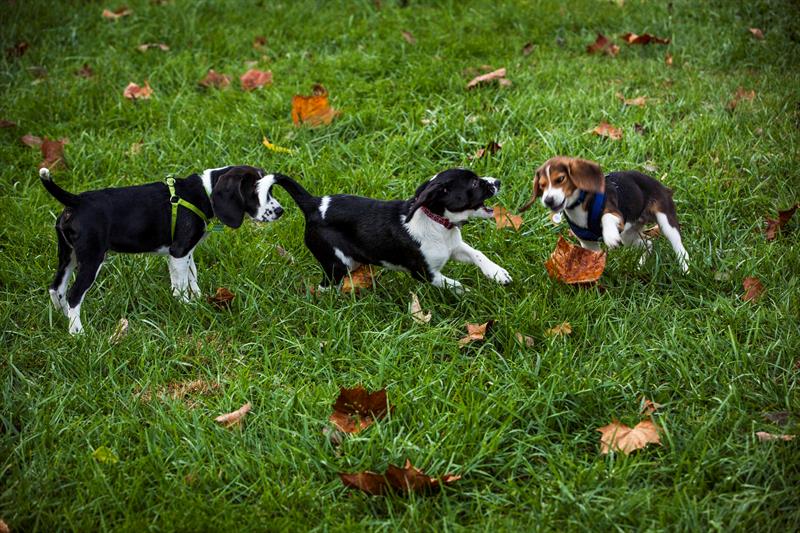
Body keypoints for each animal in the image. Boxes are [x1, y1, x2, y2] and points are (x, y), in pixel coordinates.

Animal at [40, 164, 286, 334]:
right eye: (256, 194)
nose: (280, 211)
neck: (204, 192)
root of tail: (76, 201)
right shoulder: (178, 253)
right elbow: (180, 284)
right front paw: (186, 306)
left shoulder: (187, 251)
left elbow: (192, 276)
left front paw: (197, 299)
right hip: (92, 259)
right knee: (74, 294)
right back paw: (77, 332)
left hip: (68, 256)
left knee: (56, 288)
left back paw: (63, 317)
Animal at [276, 167, 512, 294]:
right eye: (474, 183)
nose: (499, 181)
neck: (438, 223)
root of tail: (314, 204)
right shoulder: (425, 273)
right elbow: (455, 285)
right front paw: (471, 294)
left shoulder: (453, 248)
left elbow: (477, 253)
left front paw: (497, 273)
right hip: (337, 263)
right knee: (325, 286)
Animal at [520, 154, 692, 270]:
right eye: (541, 186)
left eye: (560, 179)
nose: (548, 200)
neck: (578, 204)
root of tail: (664, 187)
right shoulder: (588, 243)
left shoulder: (616, 215)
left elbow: (606, 218)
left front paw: (609, 238)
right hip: (628, 235)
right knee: (648, 243)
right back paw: (640, 265)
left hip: (666, 222)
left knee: (680, 248)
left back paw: (685, 269)